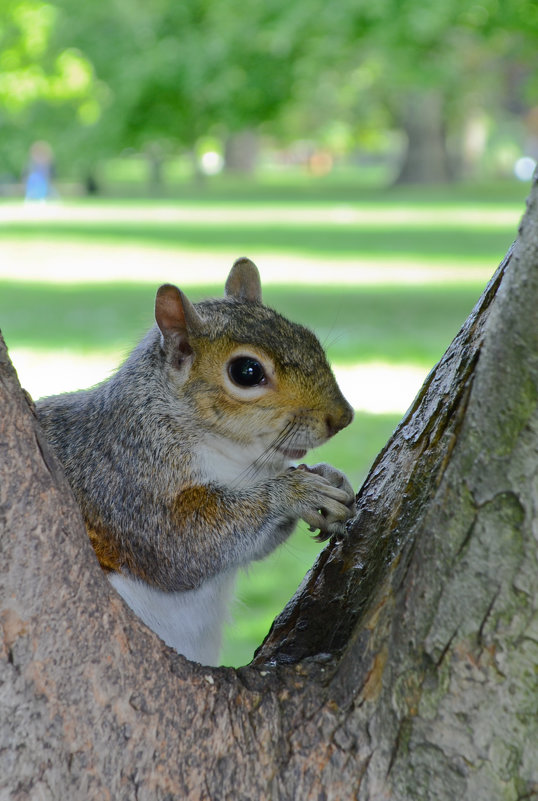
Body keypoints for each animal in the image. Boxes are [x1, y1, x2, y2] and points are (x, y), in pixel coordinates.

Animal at [37, 256, 356, 664]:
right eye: (247, 371)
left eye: (308, 337)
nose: (343, 417)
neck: (237, 461)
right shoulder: (123, 482)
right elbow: (183, 546)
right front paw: (296, 491)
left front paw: (329, 476)